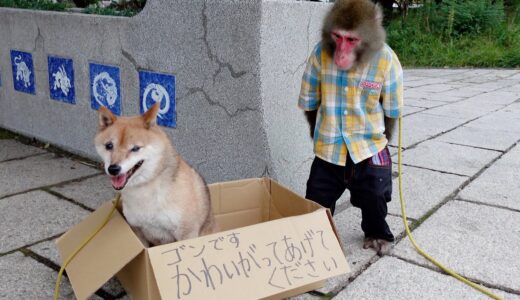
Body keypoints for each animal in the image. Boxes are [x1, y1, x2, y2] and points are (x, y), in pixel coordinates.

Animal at [94, 103, 216, 246]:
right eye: (109, 146)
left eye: (135, 148)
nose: (113, 169)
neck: (145, 187)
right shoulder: (137, 230)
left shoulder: (186, 233)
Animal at [296, 0, 402, 255]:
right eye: (338, 37)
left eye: (352, 40)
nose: (341, 54)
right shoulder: (315, 57)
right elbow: (312, 104)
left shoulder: (391, 64)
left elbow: (390, 114)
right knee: (319, 192)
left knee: (374, 194)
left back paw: (378, 235)